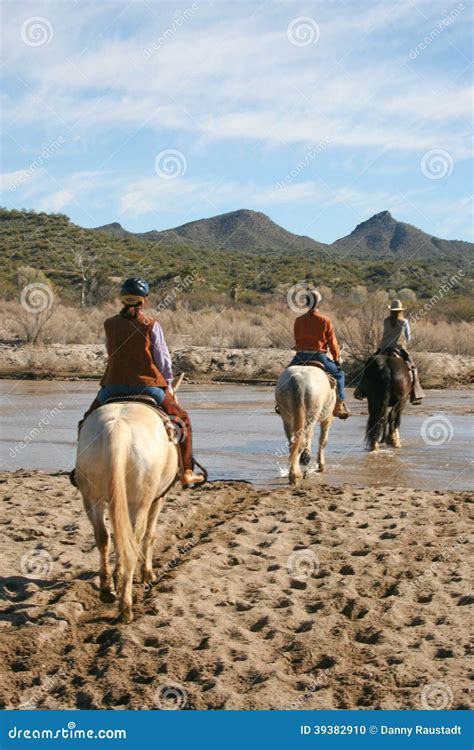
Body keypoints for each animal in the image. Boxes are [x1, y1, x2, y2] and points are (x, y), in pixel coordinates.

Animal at [76, 402, 180, 624]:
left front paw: (116, 576)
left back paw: (107, 589)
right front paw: (147, 573)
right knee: (133, 544)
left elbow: (116, 538)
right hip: (140, 502)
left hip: (92, 498)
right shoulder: (158, 498)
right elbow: (149, 535)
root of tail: (118, 428)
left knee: (103, 537)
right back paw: (126, 607)